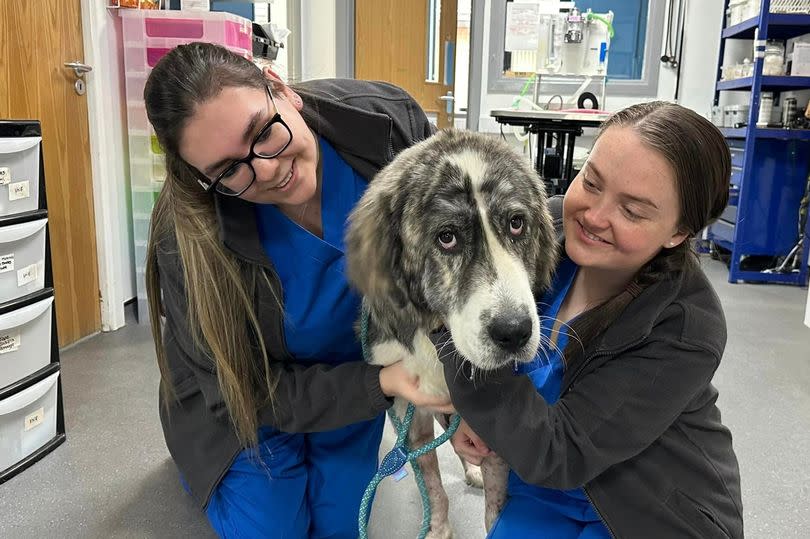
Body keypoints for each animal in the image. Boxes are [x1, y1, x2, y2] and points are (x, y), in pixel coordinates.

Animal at [344, 129, 560, 536]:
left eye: (516, 223)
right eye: (447, 237)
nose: (515, 332)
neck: (439, 340)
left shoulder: (493, 427)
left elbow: (496, 504)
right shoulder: (409, 415)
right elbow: (432, 485)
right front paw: (439, 528)